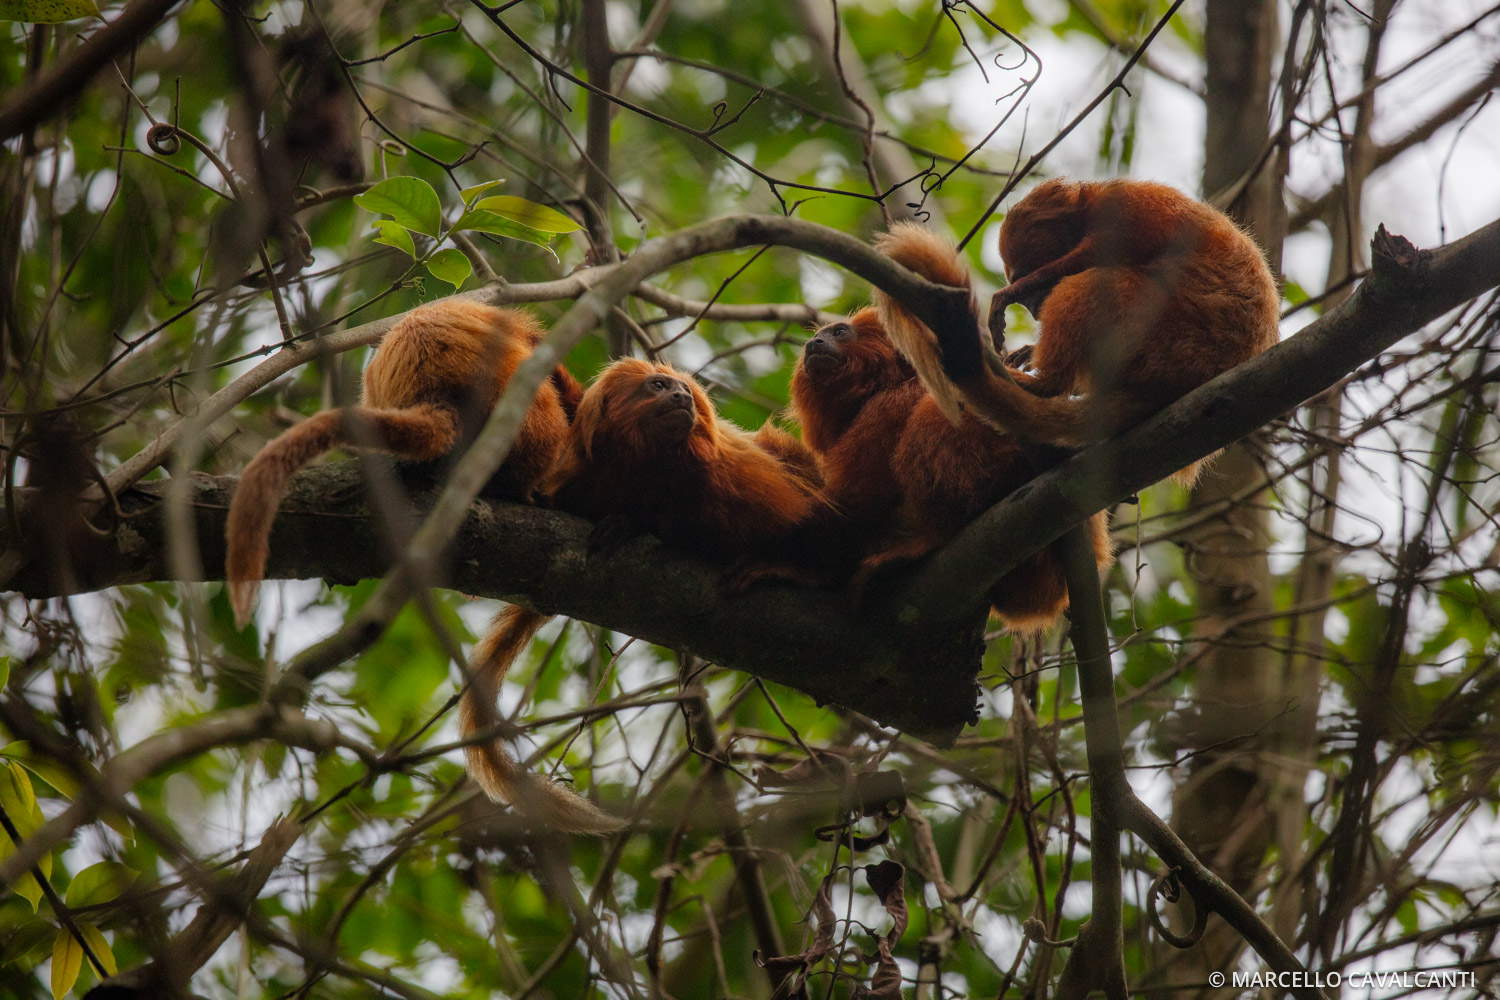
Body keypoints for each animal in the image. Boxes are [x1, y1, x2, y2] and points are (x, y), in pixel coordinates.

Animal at [877, 180, 1281, 483]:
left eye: (1031, 291)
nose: (1034, 308)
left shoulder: (1132, 202)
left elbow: (1100, 254)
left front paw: (1009, 295)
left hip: (1175, 342)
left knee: (1100, 282)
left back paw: (1043, 385)